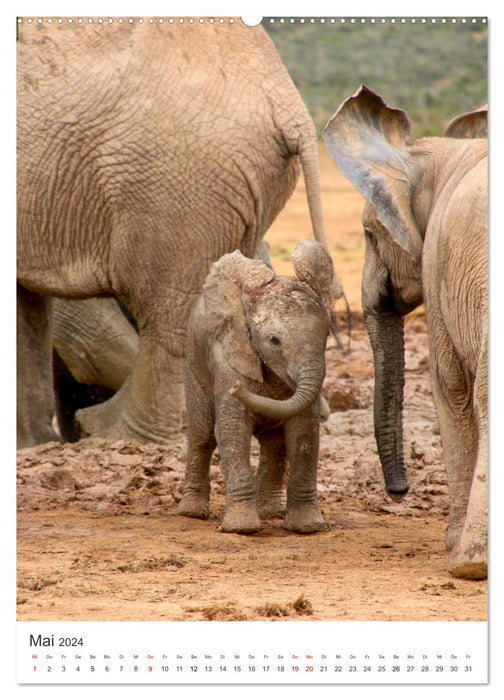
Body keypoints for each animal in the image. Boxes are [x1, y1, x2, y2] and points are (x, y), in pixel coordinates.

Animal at [178, 242, 334, 536]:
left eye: (327, 336)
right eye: (274, 341)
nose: (236, 388)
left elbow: (304, 433)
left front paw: (308, 527)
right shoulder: (228, 357)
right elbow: (232, 430)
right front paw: (242, 528)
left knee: (274, 444)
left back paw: (271, 511)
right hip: (193, 359)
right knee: (203, 433)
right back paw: (190, 512)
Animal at [322, 86, 488, 580]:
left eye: (367, 232)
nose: (398, 492)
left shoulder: (439, 264)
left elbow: (449, 386)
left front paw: (453, 546)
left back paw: (470, 563)